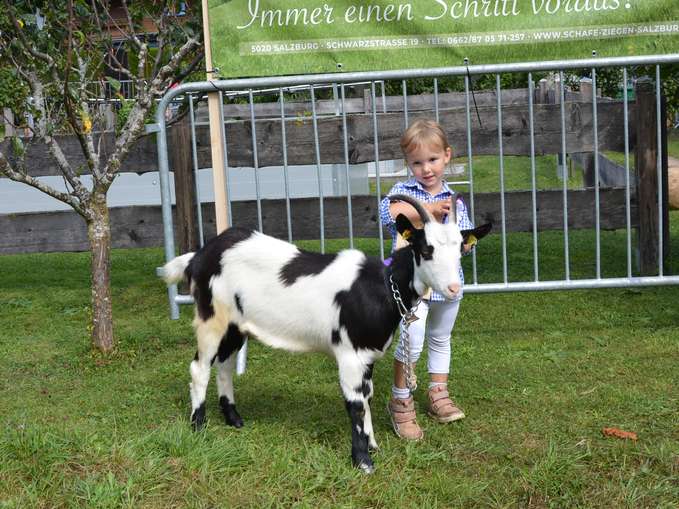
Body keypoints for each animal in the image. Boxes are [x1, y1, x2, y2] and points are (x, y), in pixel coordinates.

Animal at [161, 194, 486, 472]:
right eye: (426, 250)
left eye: (460, 250)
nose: (453, 288)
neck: (382, 285)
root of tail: (199, 255)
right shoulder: (350, 355)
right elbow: (355, 405)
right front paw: (363, 461)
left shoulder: (367, 355)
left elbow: (367, 396)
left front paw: (372, 444)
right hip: (211, 318)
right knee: (200, 367)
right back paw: (198, 425)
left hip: (235, 325)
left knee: (225, 365)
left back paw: (234, 418)